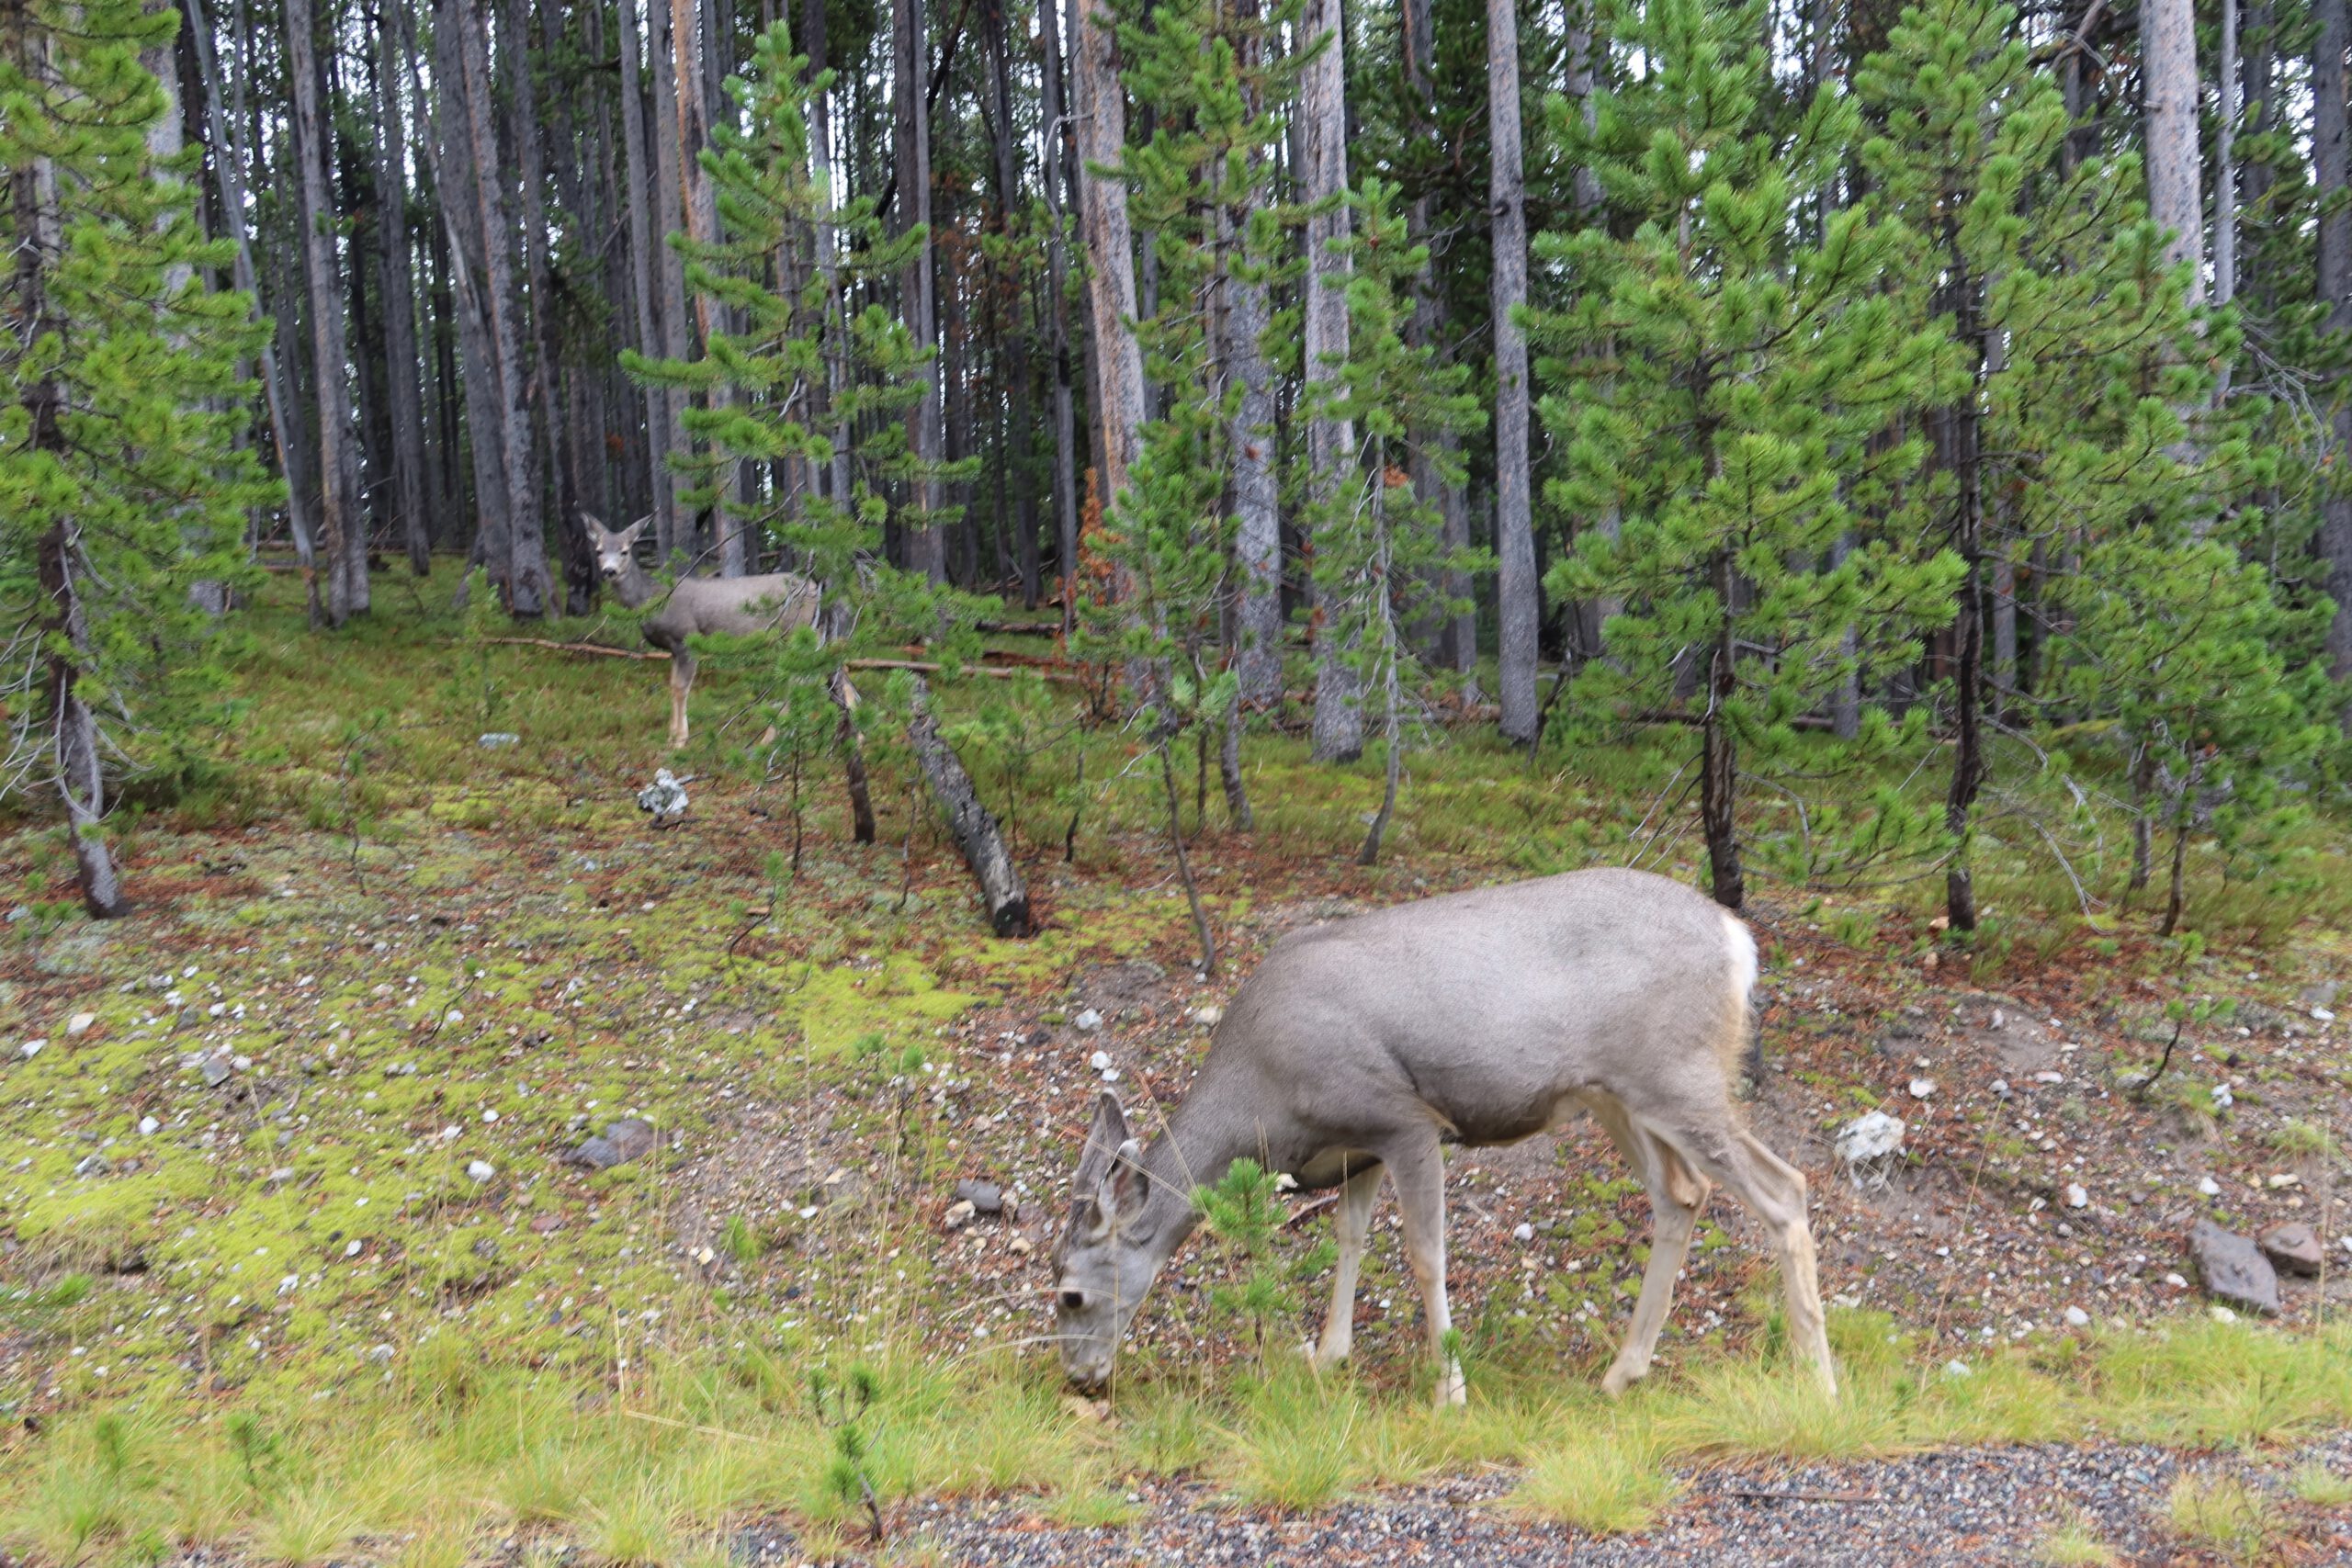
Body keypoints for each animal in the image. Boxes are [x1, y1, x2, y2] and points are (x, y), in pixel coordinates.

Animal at [581, 513, 823, 748]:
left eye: (624, 551)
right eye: (599, 550)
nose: (609, 571)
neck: (651, 598)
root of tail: (815, 587)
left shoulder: (686, 638)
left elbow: (681, 689)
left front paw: (680, 740)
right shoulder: (672, 649)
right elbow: (672, 686)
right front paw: (671, 736)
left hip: (795, 631)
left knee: (800, 678)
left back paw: (773, 736)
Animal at [1050, 867, 1835, 1407]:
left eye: (1071, 1296)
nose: (1080, 1377)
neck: (1266, 1094)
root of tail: (1738, 941)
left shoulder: (1404, 1118)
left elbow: (1425, 1255)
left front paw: (1448, 1389)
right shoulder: (1356, 1144)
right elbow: (1350, 1235)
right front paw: (1329, 1355)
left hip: (1678, 1074)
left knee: (1784, 1186)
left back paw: (1817, 1377)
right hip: (1617, 1093)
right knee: (1682, 1194)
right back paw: (1621, 1372)